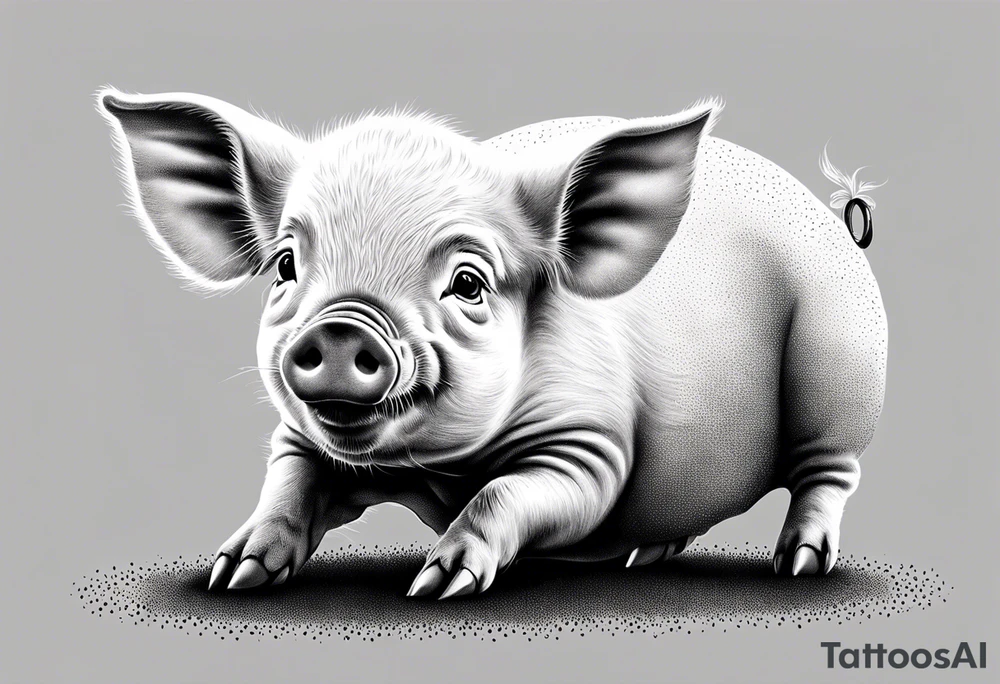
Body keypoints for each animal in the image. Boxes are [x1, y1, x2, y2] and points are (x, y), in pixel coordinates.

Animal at [97, 88, 887, 599]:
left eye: (469, 282)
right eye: (288, 265)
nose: (342, 325)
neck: (435, 471)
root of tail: (834, 222)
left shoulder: (592, 447)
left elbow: (505, 493)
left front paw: (436, 586)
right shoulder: (301, 440)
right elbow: (288, 485)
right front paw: (233, 574)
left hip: (843, 369)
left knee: (828, 477)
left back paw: (799, 565)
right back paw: (644, 556)